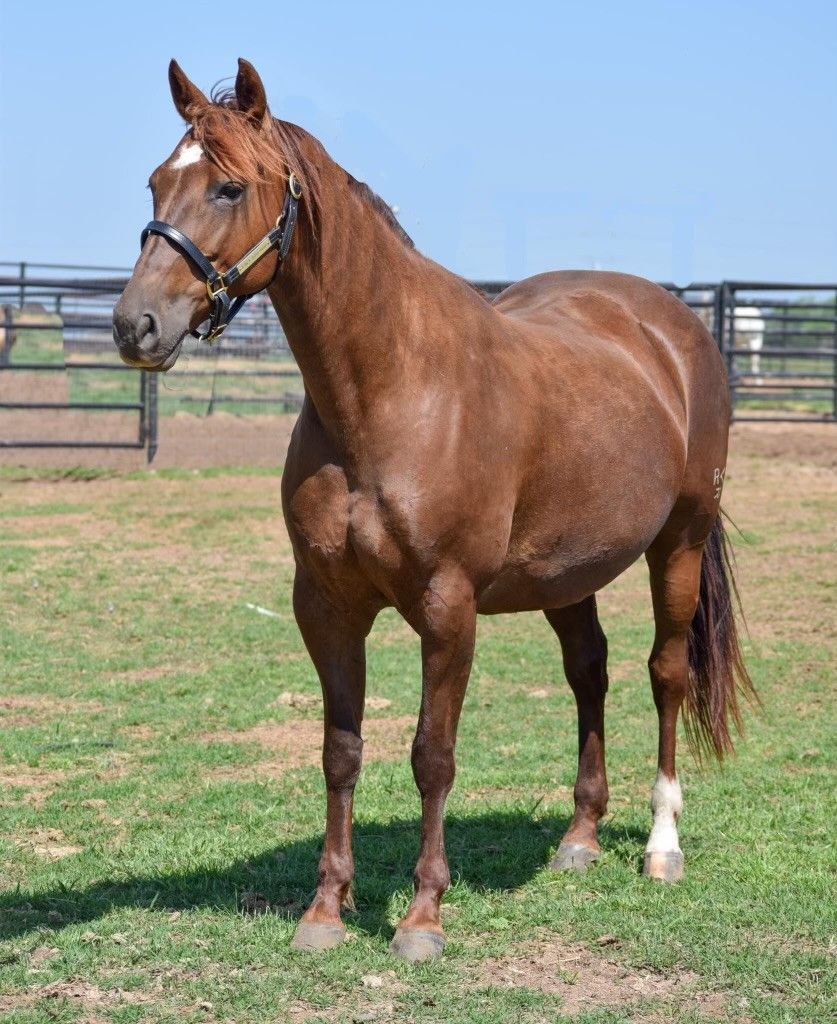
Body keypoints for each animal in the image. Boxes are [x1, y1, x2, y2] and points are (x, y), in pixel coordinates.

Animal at [113, 59, 754, 963]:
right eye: (156, 182)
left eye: (229, 188)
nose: (135, 325)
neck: (388, 391)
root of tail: (670, 326)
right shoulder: (327, 605)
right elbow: (340, 750)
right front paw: (325, 910)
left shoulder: (448, 608)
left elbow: (432, 756)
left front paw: (421, 918)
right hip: (567, 573)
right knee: (587, 672)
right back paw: (579, 838)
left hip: (680, 542)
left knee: (664, 673)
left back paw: (661, 847)